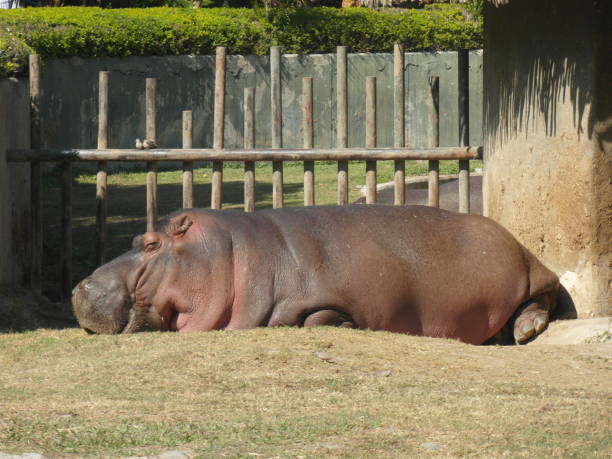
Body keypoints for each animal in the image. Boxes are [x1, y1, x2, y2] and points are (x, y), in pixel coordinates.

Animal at [71, 206, 560, 344]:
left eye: (152, 243)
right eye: (137, 236)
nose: (80, 287)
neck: (234, 255)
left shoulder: (327, 301)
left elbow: (318, 319)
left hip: (530, 273)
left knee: (545, 296)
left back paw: (525, 331)